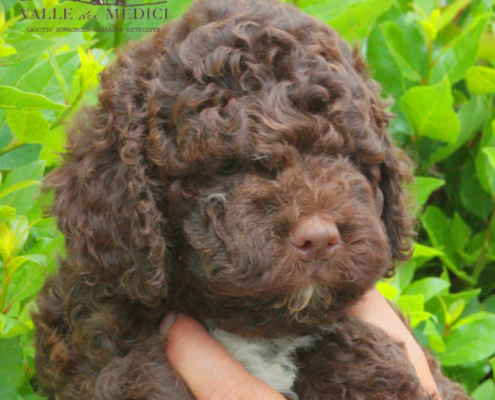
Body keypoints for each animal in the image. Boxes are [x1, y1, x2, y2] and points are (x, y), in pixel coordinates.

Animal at [32, 0, 472, 400]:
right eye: (226, 166)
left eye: (347, 157)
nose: (319, 238)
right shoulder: (91, 327)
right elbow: (134, 370)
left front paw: (370, 375)